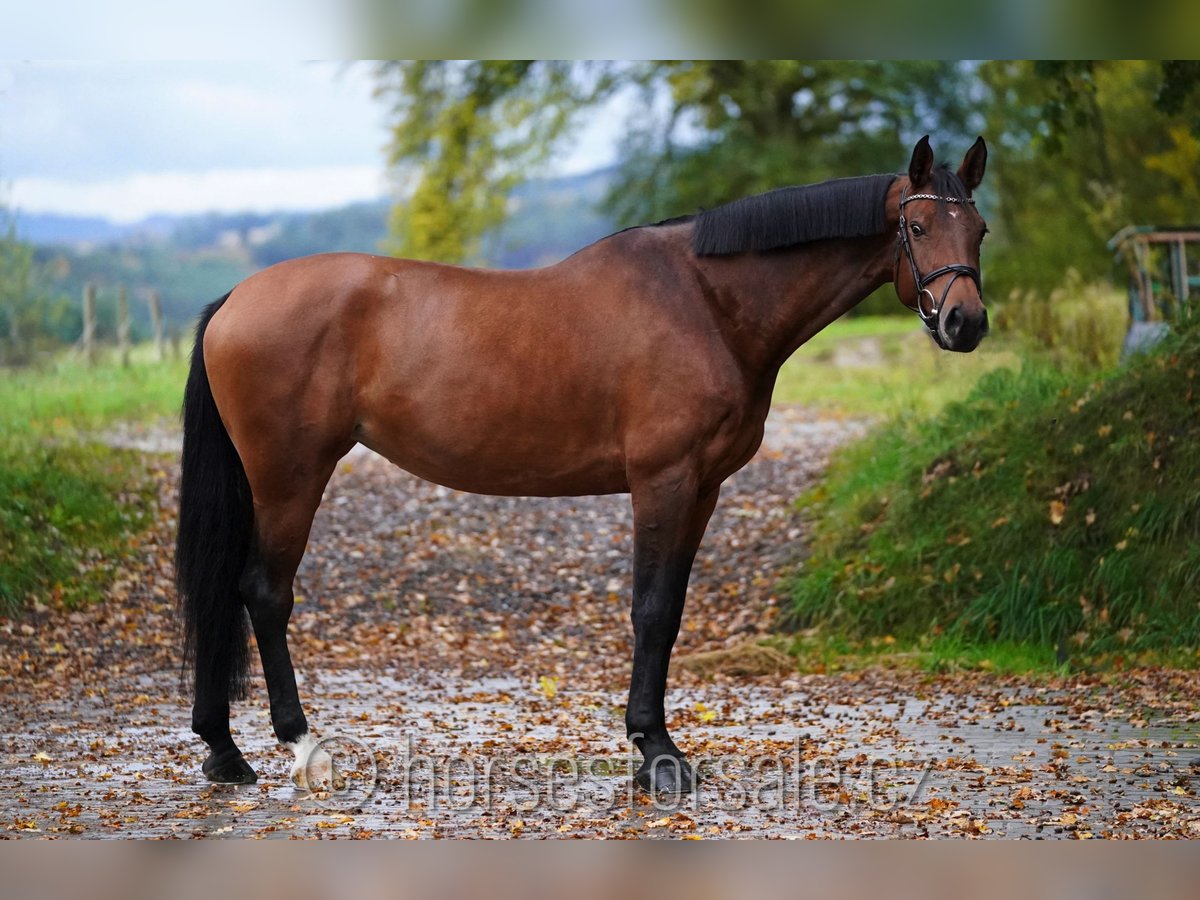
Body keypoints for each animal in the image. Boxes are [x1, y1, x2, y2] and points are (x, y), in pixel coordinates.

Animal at [174, 135, 988, 796]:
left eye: (978, 228)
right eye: (917, 227)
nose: (966, 323)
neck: (704, 301)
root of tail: (236, 299)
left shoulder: (702, 489)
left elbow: (672, 610)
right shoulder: (663, 481)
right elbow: (651, 610)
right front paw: (658, 755)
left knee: (226, 590)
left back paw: (225, 751)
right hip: (289, 476)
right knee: (263, 593)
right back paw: (302, 747)